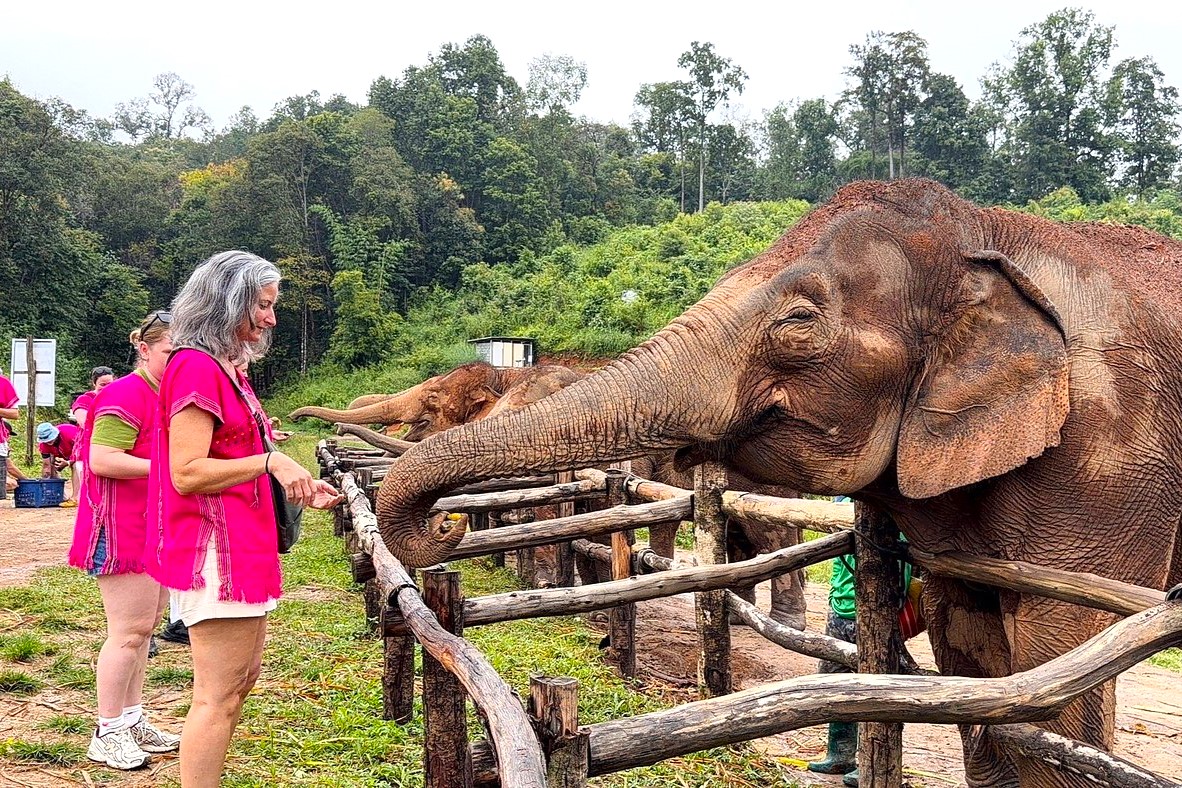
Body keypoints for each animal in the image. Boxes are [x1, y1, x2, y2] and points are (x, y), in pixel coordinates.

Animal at [374, 179, 1182, 787]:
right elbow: (974, 660)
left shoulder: (1113, 451)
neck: (995, 233)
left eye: (798, 322)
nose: (443, 524)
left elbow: (1059, 663)